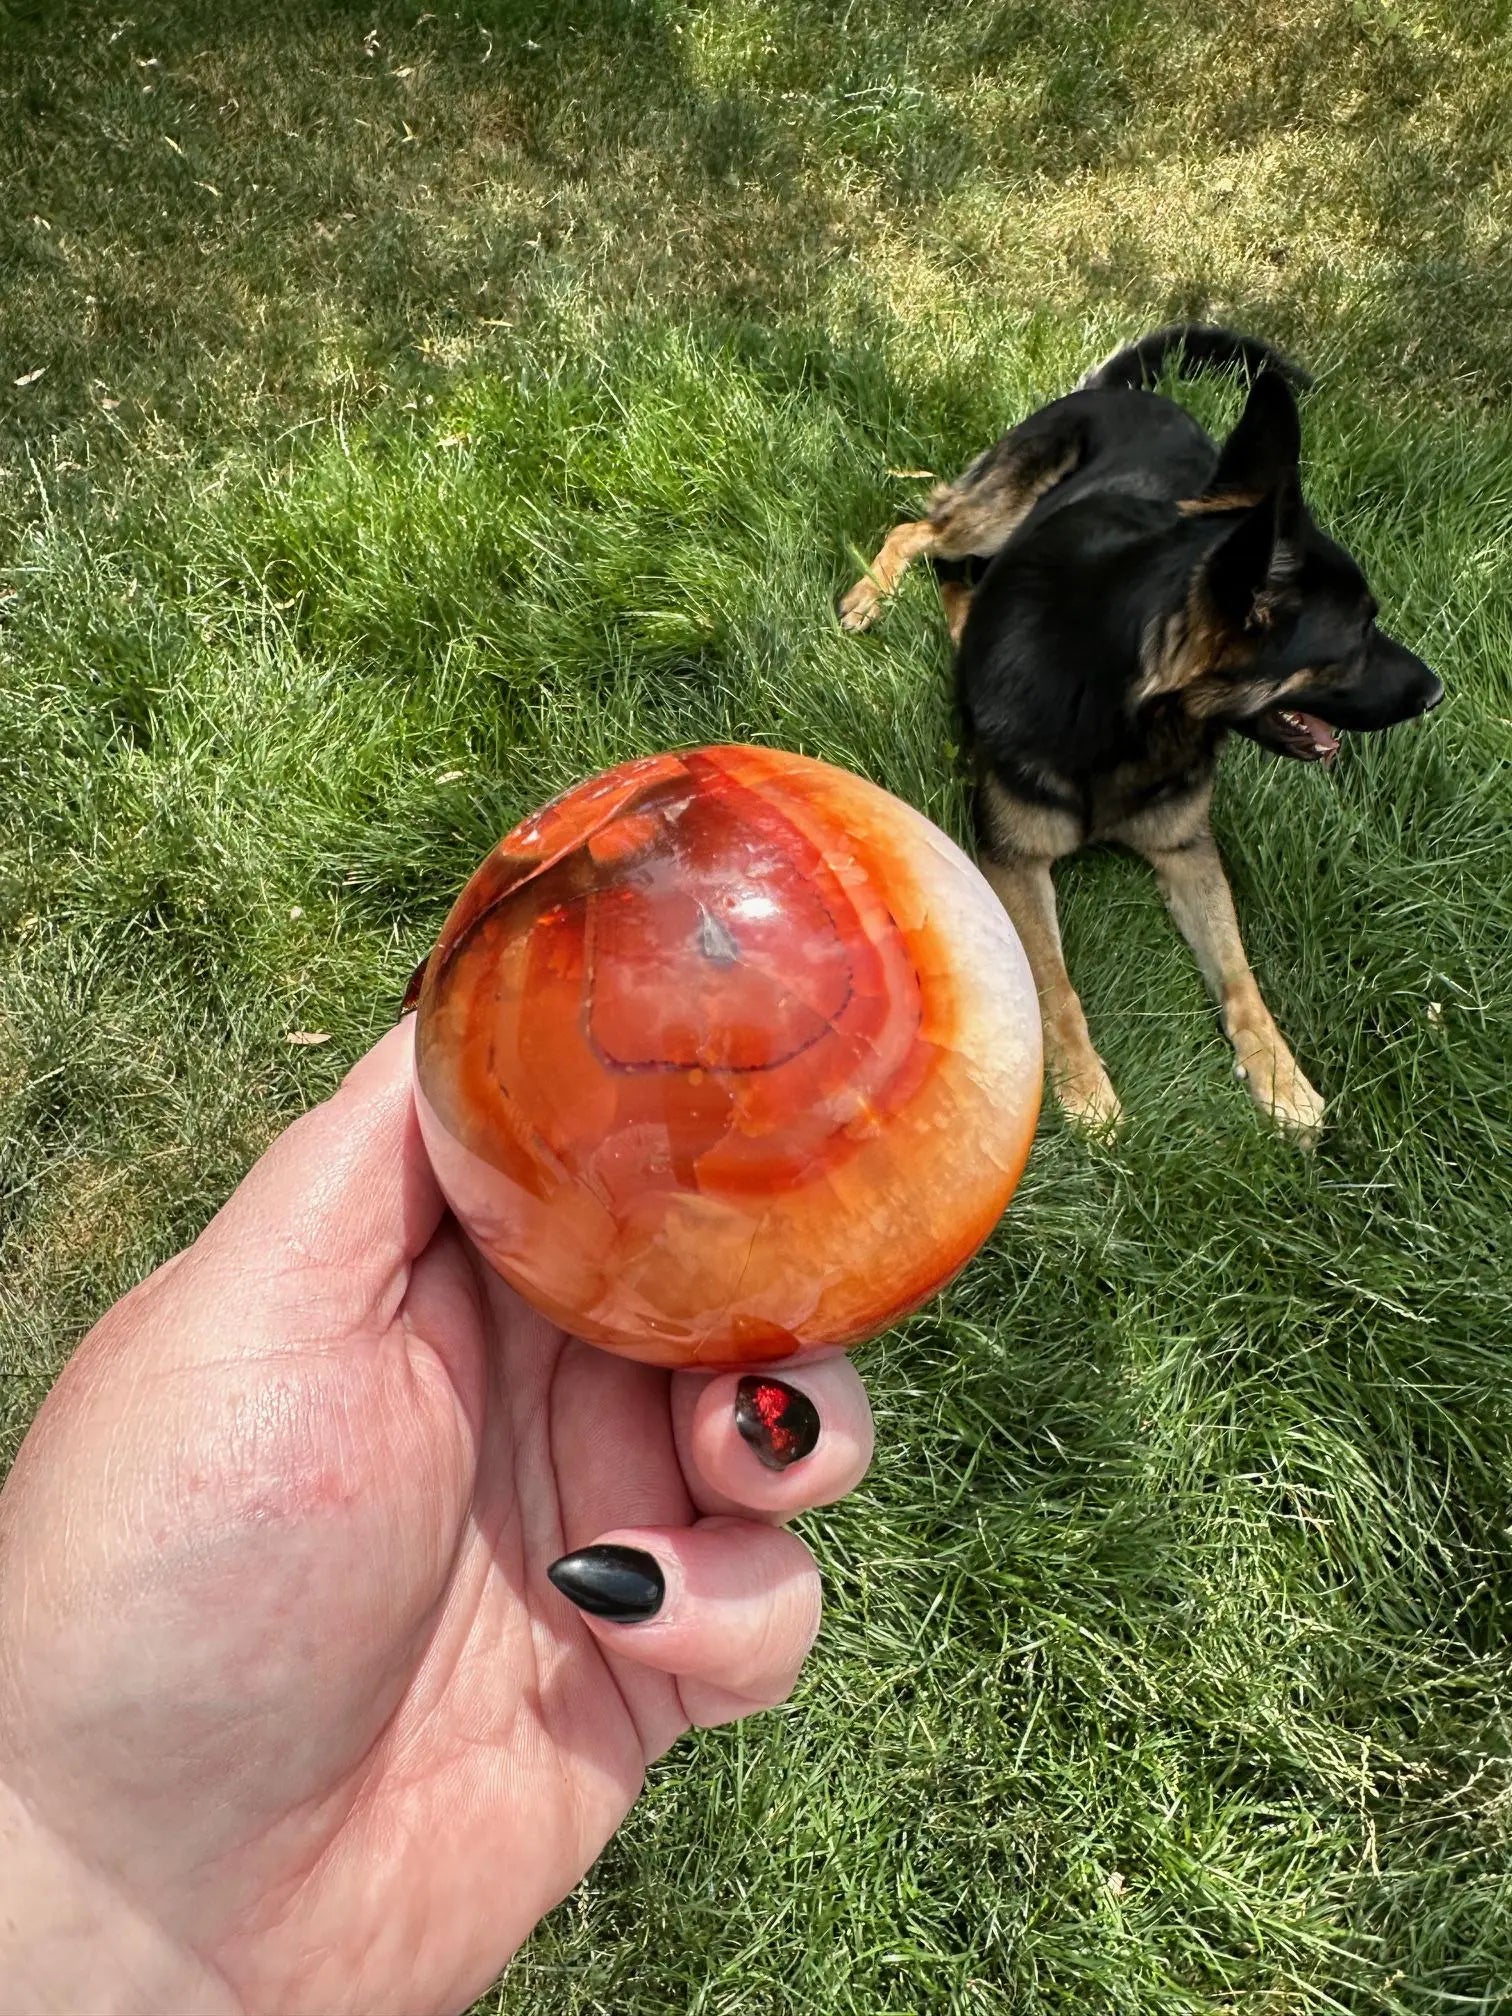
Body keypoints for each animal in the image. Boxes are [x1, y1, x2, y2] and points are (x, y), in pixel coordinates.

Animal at [842, 314, 1443, 1137]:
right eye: (1356, 638)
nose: (1438, 693)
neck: (1129, 722)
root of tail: (1122, 392)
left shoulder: (1188, 851)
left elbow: (1241, 977)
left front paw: (1281, 1078)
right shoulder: (1014, 860)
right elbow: (1054, 982)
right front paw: (1084, 1088)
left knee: (956, 584)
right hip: (988, 517)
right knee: (919, 529)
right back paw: (870, 595)